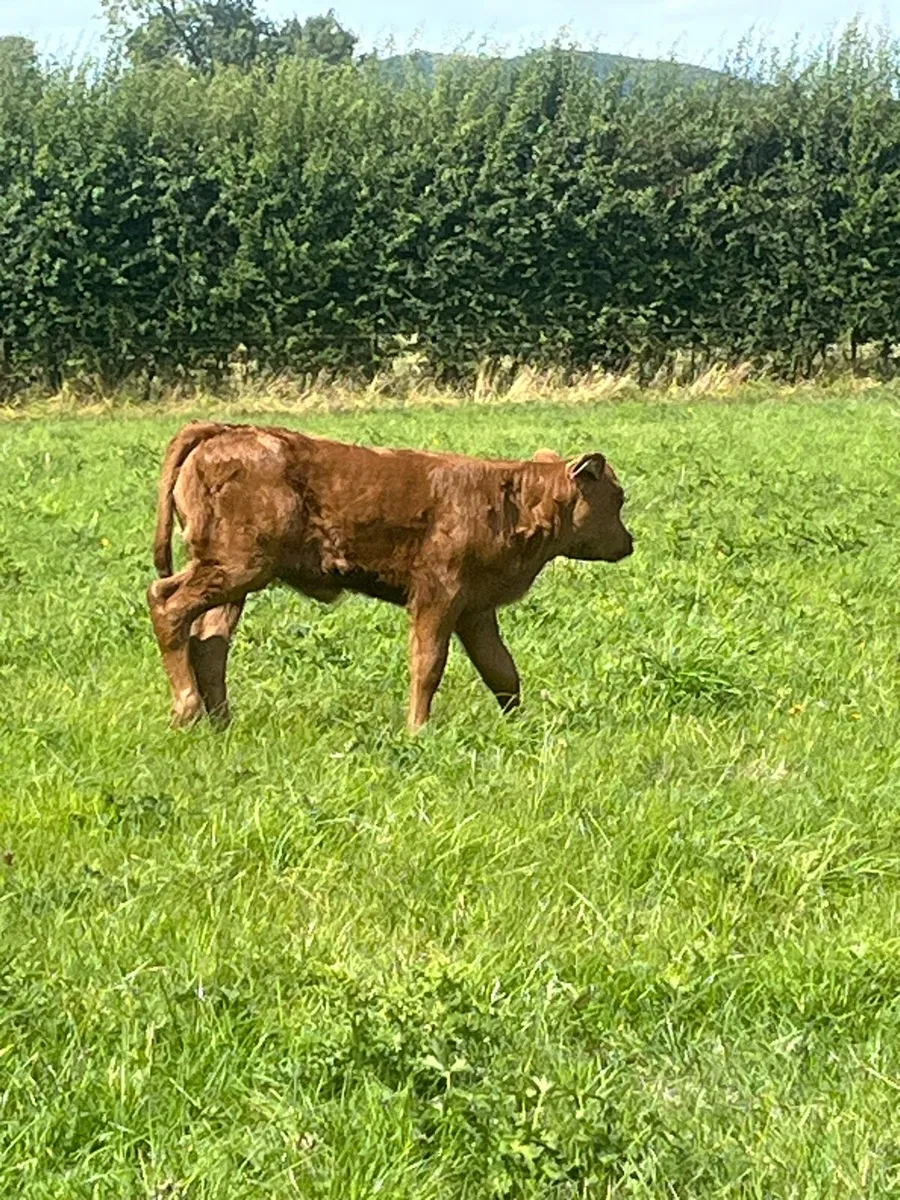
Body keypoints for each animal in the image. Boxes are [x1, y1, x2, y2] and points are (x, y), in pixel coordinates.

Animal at [147, 422, 634, 731]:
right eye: (618, 497)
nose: (628, 542)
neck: (510, 500)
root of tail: (225, 431)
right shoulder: (438, 596)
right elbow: (428, 664)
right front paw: (418, 729)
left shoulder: (476, 609)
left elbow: (501, 670)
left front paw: (520, 726)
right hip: (234, 567)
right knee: (167, 603)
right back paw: (187, 711)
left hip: (235, 579)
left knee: (210, 642)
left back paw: (221, 723)